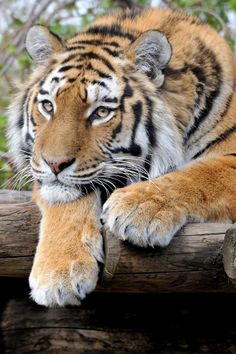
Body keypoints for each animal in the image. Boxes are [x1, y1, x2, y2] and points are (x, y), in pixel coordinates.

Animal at [7, 7, 236, 306]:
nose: (54, 163)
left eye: (101, 112)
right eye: (48, 106)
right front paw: (58, 274)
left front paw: (138, 209)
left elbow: (202, 174)